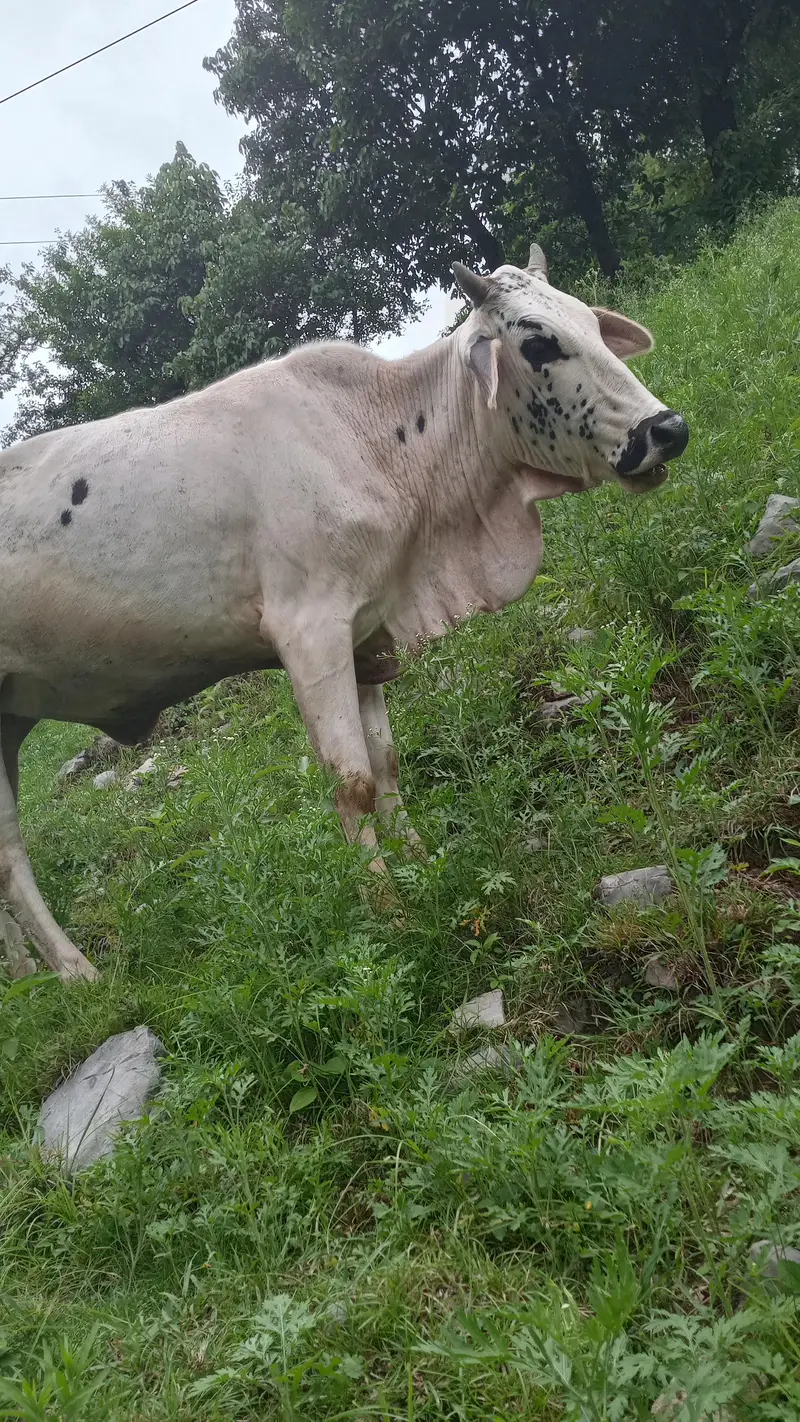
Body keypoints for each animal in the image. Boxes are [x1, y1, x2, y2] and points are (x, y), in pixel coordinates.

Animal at [0, 242, 689, 982]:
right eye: (538, 343)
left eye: (592, 324)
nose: (666, 429)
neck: (379, 441)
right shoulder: (310, 633)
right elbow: (353, 780)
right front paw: (387, 904)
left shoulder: (367, 635)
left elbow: (385, 761)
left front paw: (417, 858)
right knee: (11, 858)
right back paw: (74, 971)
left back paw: (26, 973)